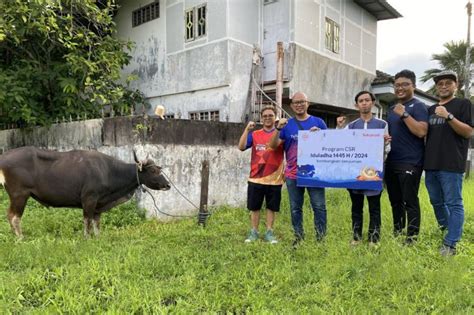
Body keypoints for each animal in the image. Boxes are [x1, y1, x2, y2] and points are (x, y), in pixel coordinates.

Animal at [0, 147, 170, 238]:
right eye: (153, 171)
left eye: (159, 169)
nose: (167, 184)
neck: (108, 171)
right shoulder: (89, 199)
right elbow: (87, 220)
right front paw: (87, 238)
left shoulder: (99, 203)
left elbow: (96, 222)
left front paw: (98, 237)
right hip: (19, 194)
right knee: (13, 216)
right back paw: (20, 238)